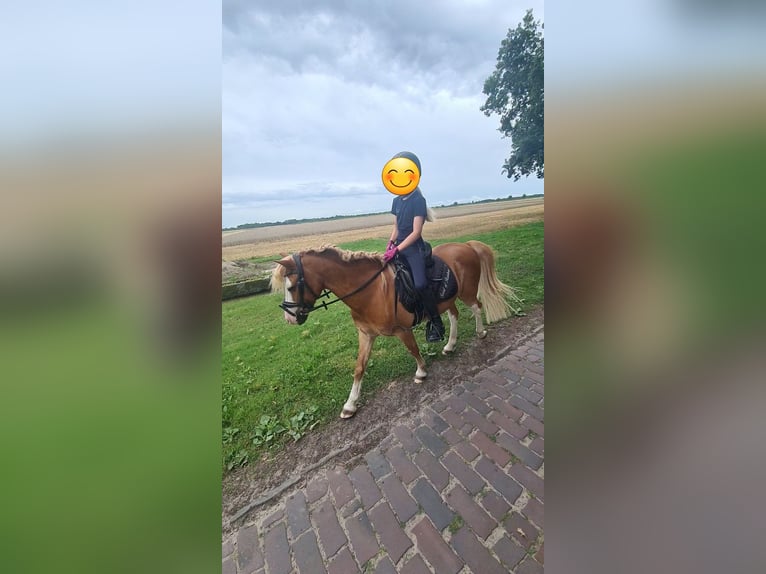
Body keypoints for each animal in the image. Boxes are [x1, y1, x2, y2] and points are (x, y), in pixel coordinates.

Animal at [271, 241, 519, 419]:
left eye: (291, 287)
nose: (289, 318)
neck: (371, 292)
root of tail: (466, 245)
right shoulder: (366, 335)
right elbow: (359, 368)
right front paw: (350, 404)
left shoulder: (402, 330)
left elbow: (413, 350)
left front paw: (421, 372)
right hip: (448, 299)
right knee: (454, 315)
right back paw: (450, 345)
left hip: (466, 292)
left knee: (477, 307)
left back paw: (481, 333)